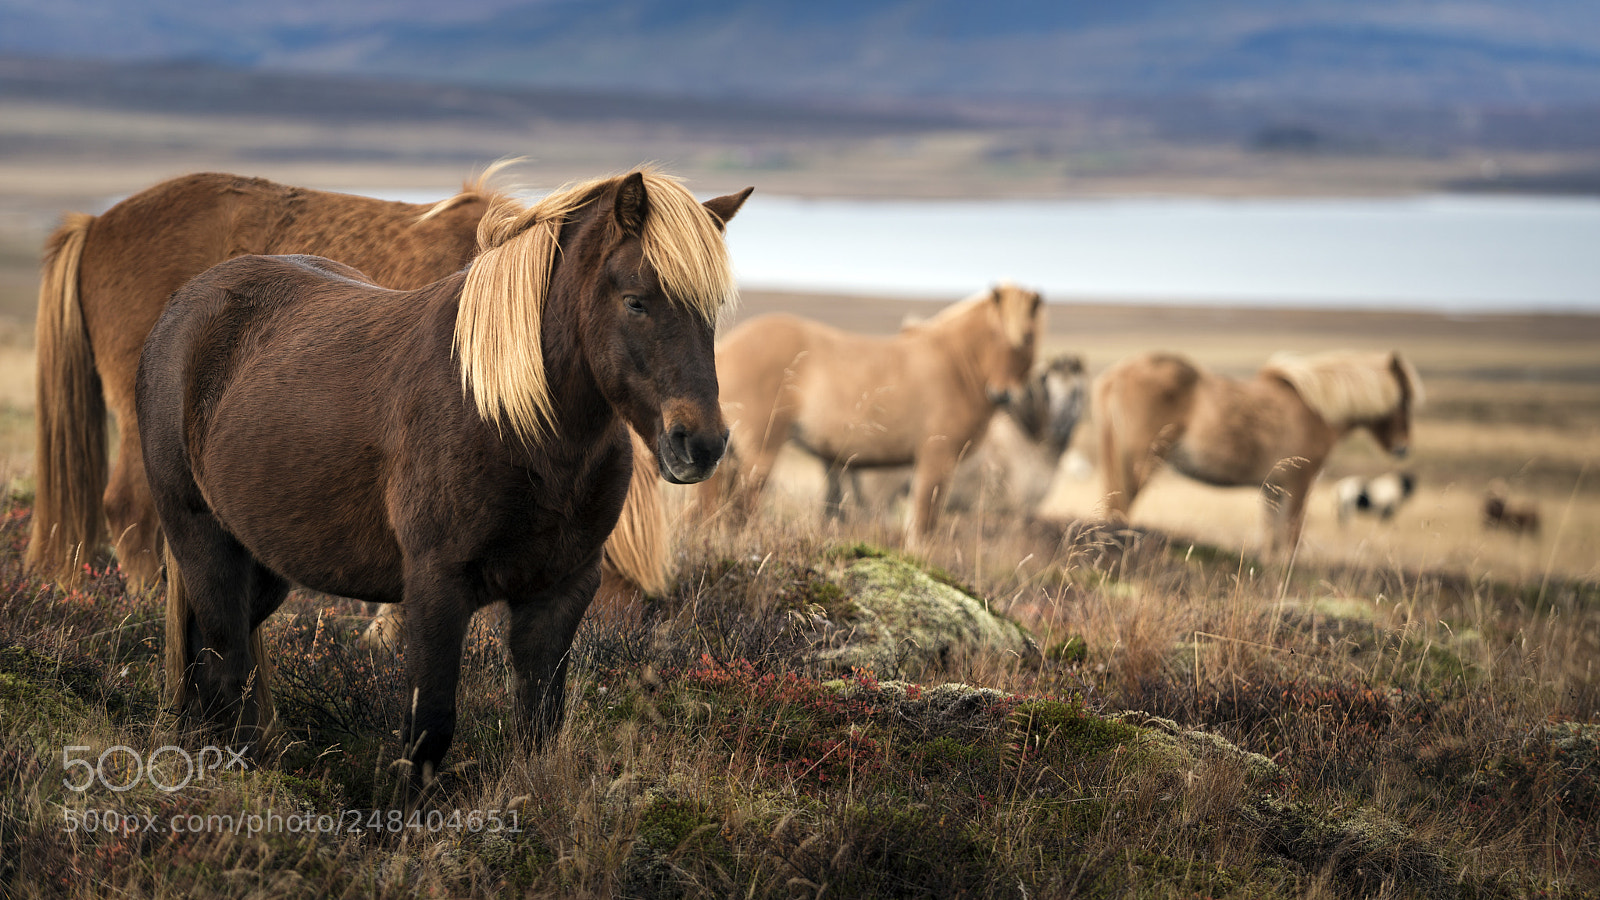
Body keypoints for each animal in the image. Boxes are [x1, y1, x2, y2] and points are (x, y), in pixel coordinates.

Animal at [136, 170, 749, 784]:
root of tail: (181, 308)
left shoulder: (560, 591)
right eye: (636, 302)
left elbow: (538, 726)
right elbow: (429, 727)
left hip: (265, 561)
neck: (509, 419)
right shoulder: (436, 588)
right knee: (224, 667)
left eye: (711, 312)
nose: (701, 444)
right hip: (203, 539)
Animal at [700, 283, 1042, 539]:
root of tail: (727, 348)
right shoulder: (936, 460)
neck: (955, 365)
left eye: (1027, 337)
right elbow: (923, 526)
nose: (1002, 394)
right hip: (760, 452)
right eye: (995, 334)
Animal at [1094, 350, 1423, 553]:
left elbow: (1270, 539)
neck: (1314, 410)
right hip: (1140, 463)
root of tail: (1117, 374)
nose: (1403, 447)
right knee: (1121, 508)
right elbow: (1290, 537)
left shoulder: (1273, 488)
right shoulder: (1299, 483)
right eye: (1404, 399)